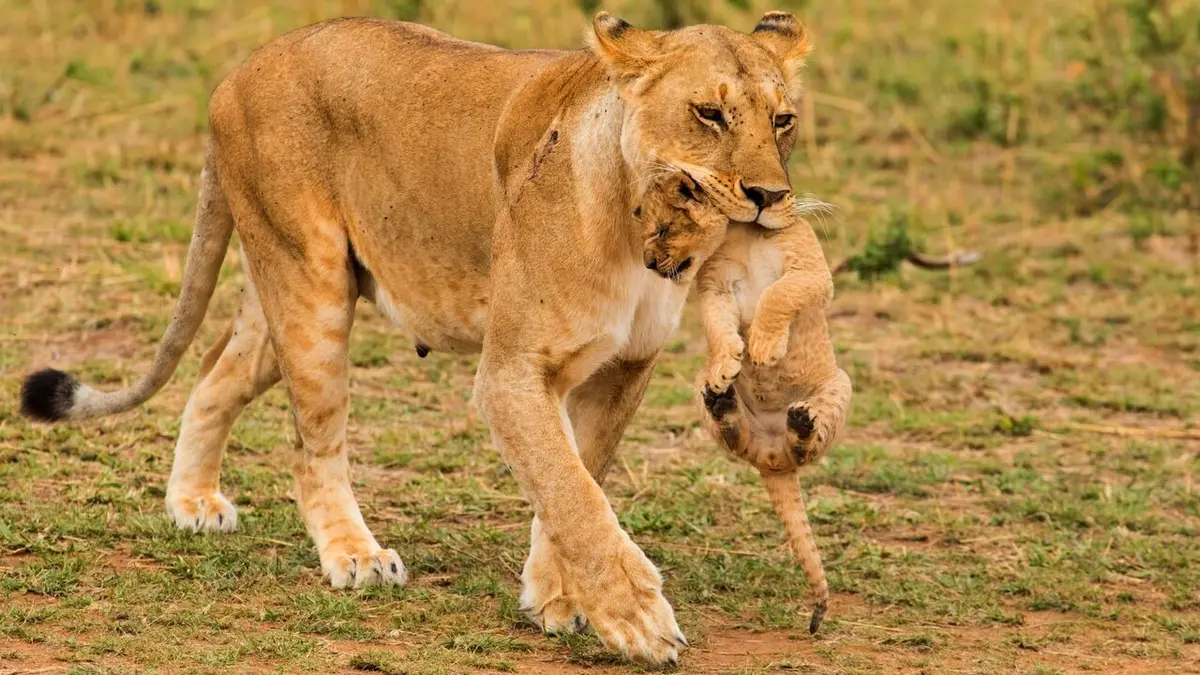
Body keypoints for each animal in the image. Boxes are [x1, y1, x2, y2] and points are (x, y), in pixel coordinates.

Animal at [19, 11, 813, 665]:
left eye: (783, 120)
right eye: (708, 113)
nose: (771, 197)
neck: (629, 220)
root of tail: (238, 71)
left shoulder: (623, 366)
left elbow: (575, 475)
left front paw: (556, 599)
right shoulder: (511, 370)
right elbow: (573, 493)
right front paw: (637, 619)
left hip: (284, 295)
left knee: (215, 375)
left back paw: (191, 502)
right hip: (311, 290)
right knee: (311, 447)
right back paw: (356, 557)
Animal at [634, 172, 850, 633]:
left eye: (661, 230)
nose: (647, 263)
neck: (746, 232)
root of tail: (772, 458)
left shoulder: (812, 272)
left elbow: (777, 296)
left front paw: (764, 349)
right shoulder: (715, 285)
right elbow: (717, 325)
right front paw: (728, 362)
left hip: (841, 382)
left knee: (808, 447)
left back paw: (803, 423)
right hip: (702, 392)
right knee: (735, 438)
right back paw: (722, 402)